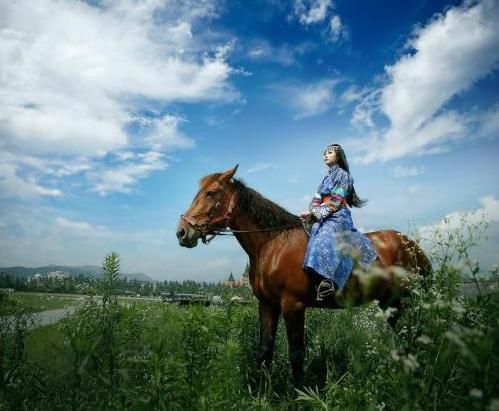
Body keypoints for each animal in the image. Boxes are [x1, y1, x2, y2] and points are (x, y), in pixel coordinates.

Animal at [177, 165, 434, 390]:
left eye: (211, 193)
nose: (182, 232)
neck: (274, 243)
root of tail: (412, 246)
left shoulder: (293, 305)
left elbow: (297, 354)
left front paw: (301, 394)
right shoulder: (267, 305)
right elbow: (264, 350)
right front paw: (261, 392)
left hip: (405, 301)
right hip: (390, 302)